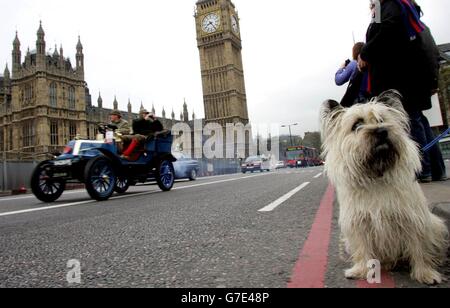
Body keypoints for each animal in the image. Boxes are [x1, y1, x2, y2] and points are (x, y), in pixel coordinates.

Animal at [320, 89, 446, 284]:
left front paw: (425, 272)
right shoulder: (359, 222)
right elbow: (362, 247)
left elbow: (418, 247)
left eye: (381, 120)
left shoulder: (413, 219)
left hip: (436, 224)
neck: (376, 175)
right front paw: (361, 270)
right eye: (357, 125)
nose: (381, 131)